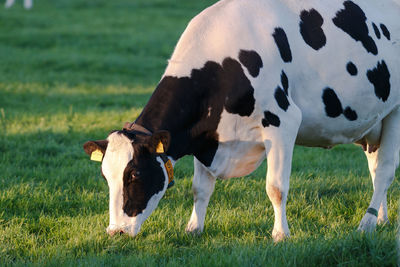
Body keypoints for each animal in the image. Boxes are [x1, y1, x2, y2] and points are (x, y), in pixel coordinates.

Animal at [83, 0, 398, 242]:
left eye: (134, 175)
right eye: (105, 176)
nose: (115, 232)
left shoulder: (283, 122)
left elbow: (276, 187)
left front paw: (280, 235)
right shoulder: (207, 135)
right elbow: (200, 188)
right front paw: (193, 229)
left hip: (395, 112)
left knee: (384, 172)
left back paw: (366, 224)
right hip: (376, 122)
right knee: (375, 168)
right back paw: (381, 219)